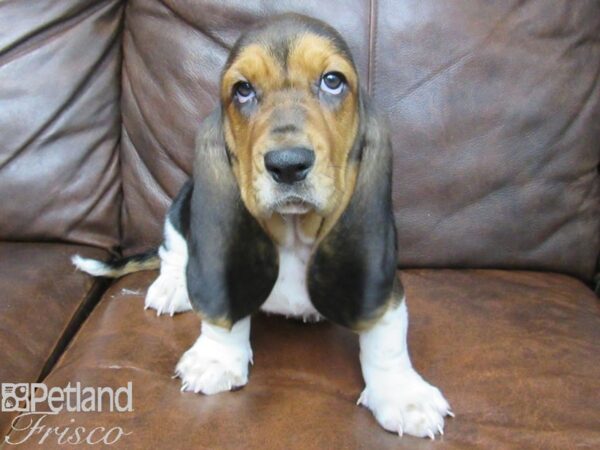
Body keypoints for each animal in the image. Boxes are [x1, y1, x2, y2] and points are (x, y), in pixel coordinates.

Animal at [74, 13, 450, 440]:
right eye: (242, 90)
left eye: (333, 81)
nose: (288, 165)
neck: (293, 233)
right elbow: (223, 313)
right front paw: (217, 358)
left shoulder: (385, 290)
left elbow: (387, 337)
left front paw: (403, 394)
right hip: (181, 203)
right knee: (173, 251)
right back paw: (172, 287)